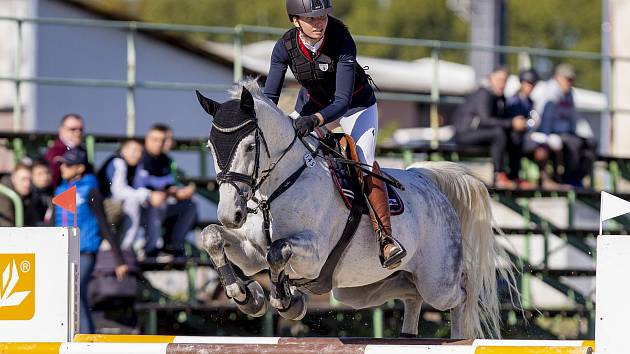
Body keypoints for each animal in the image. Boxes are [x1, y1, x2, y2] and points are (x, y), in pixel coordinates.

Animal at [196, 79, 520, 338]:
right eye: (210, 147)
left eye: (250, 146)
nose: (230, 214)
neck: (274, 191)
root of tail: (427, 180)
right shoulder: (251, 254)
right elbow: (211, 236)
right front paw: (246, 296)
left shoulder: (313, 255)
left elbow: (277, 251)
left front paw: (285, 302)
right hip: (359, 290)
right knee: (410, 292)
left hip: (437, 283)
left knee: (461, 295)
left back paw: (457, 338)